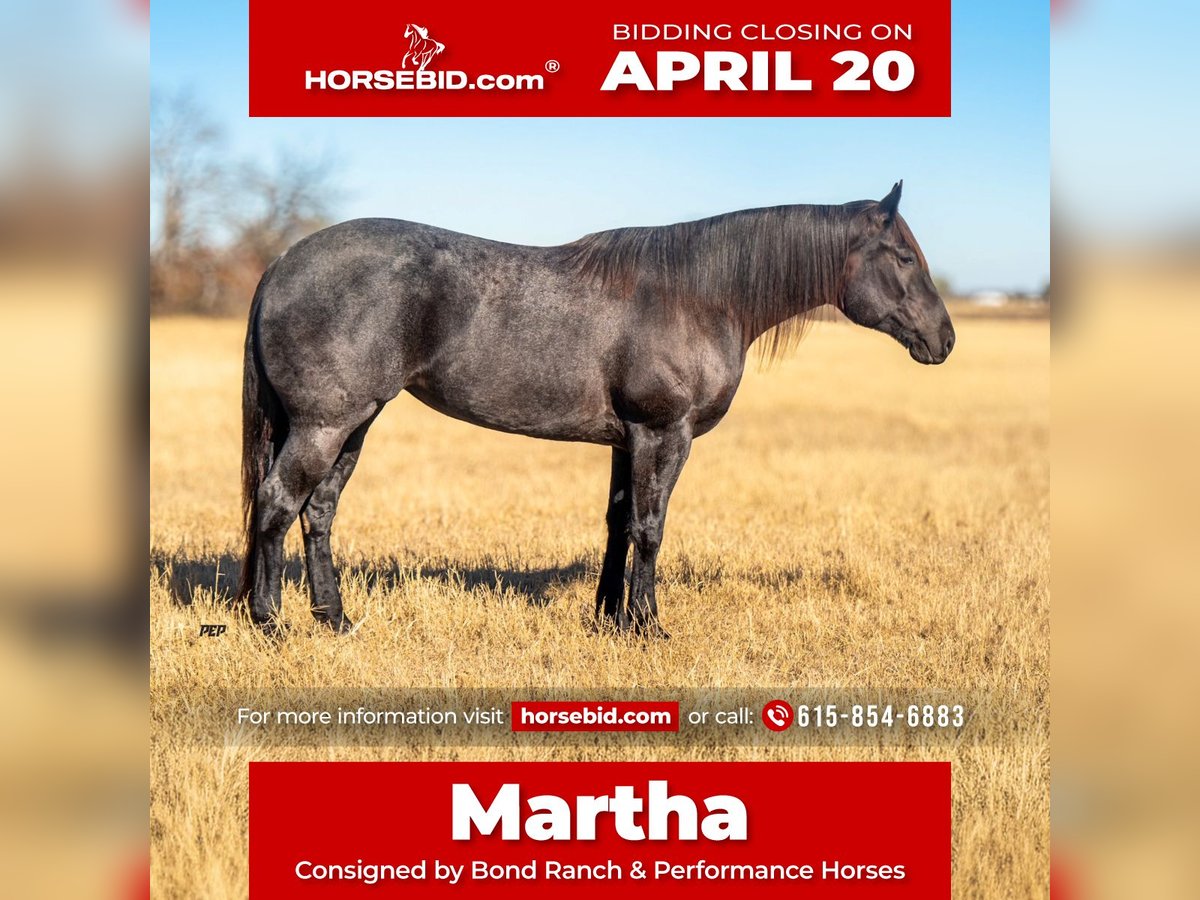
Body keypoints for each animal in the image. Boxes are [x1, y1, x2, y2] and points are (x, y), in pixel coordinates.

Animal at [236, 182, 955, 639]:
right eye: (903, 256)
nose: (944, 339)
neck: (700, 296)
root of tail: (282, 264)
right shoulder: (664, 433)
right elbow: (650, 527)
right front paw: (648, 625)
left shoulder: (625, 440)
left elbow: (617, 523)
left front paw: (610, 617)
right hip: (325, 424)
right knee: (277, 503)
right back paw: (269, 622)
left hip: (354, 423)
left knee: (318, 511)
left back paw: (333, 619)